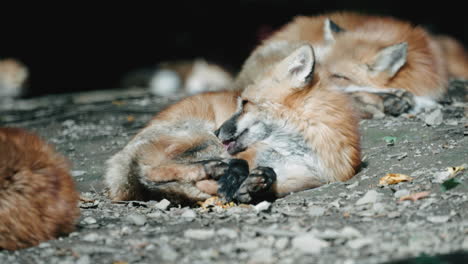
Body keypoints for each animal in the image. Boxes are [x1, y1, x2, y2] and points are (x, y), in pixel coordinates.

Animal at [105, 44, 362, 203]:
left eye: (245, 103)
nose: (218, 130)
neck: (294, 152)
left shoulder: (302, 179)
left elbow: (269, 174)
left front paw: (252, 185)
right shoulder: (241, 154)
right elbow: (238, 167)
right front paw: (232, 184)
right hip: (203, 139)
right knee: (149, 171)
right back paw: (211, 168)